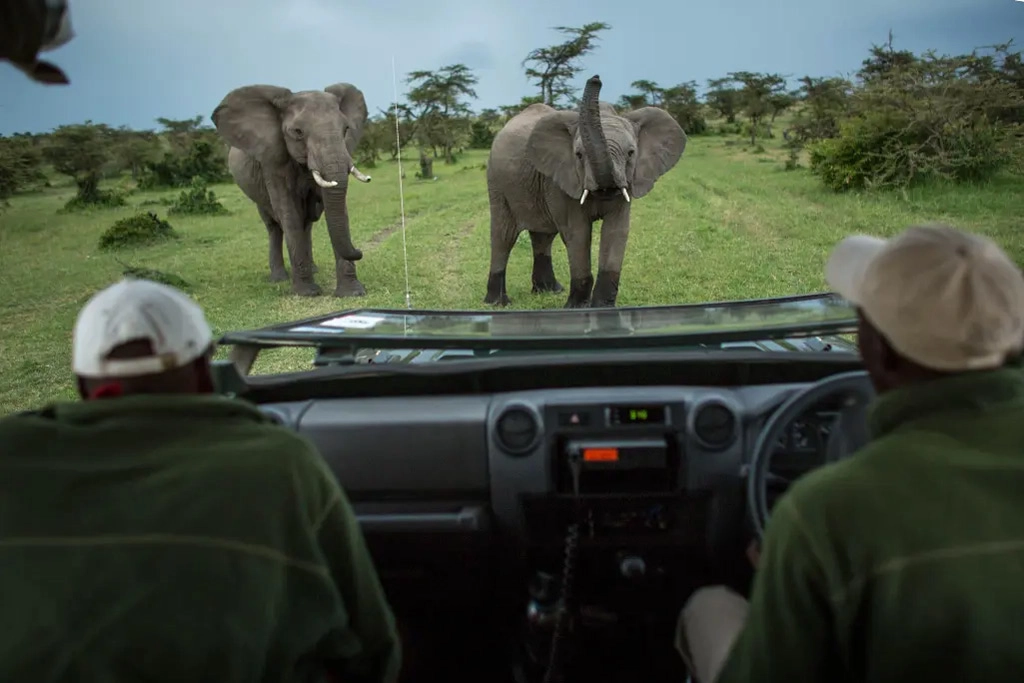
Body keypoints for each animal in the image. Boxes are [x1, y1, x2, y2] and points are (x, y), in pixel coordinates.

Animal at [212, 83, 374, 298]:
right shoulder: (273, 162)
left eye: (346, 129)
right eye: (297, 132)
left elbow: (337, 209)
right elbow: (289, 212)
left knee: (307, 223)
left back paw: (313, 269)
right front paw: (307, 293)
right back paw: (279, 278)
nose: (359, 252)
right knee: (273, 226)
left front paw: (352, 292)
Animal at [483, 75, 687, 308]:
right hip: (496, 181)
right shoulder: (560, 180)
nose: (596, 78)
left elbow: (616, 231)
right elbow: (578, 233)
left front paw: (602, 307)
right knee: (504, 236)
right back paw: (497, 303)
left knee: (543, 236)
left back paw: (549, 291)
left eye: (631, 153)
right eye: (579, 155)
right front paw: (577, 307)